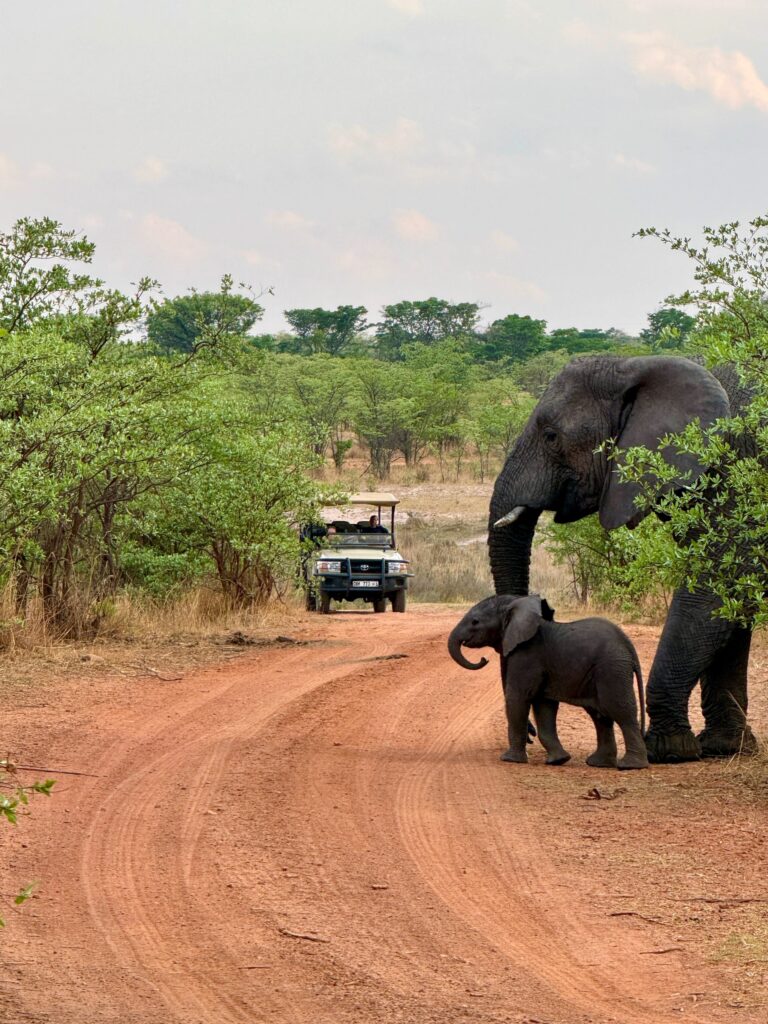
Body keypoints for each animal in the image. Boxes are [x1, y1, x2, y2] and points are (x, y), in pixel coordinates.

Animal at [448, 595, 648, 770]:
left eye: (475, 622)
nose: (483, 659)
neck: (515, 604)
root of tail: (628, 645)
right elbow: (543, 705)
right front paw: (559, 760)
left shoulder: (527, 653)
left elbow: (518, 697)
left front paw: (510, 760)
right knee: (600, 714)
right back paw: (599, 763)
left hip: (611, 668)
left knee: (619, 710)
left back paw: (631, 766)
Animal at [488, 355, 757, 763]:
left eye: (551, 436)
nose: (531, 735)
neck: (641, 366)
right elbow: (730, 605)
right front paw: (723, 747)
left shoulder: (731, 473)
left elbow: (712, 588)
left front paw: (667, 750)